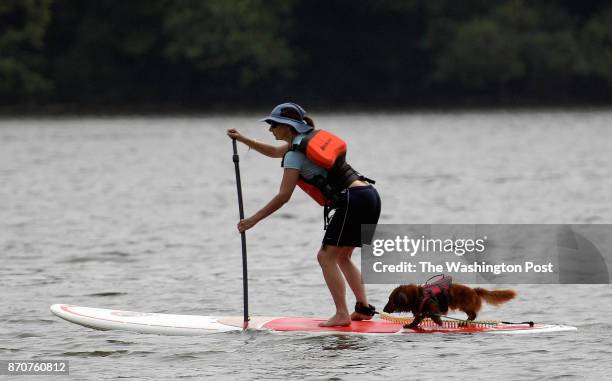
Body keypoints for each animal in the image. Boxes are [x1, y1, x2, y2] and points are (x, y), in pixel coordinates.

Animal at [384, 282, 512, 326]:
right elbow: (417, 319)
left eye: (390, 300)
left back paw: (464, 322)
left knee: (473, 315)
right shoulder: (421, 312)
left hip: (465, 306)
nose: (384, 310)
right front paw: (411, 325)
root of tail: (474, 290)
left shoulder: (432, 305)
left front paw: (439, 322)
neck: (417, 295)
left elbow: (433, 315)